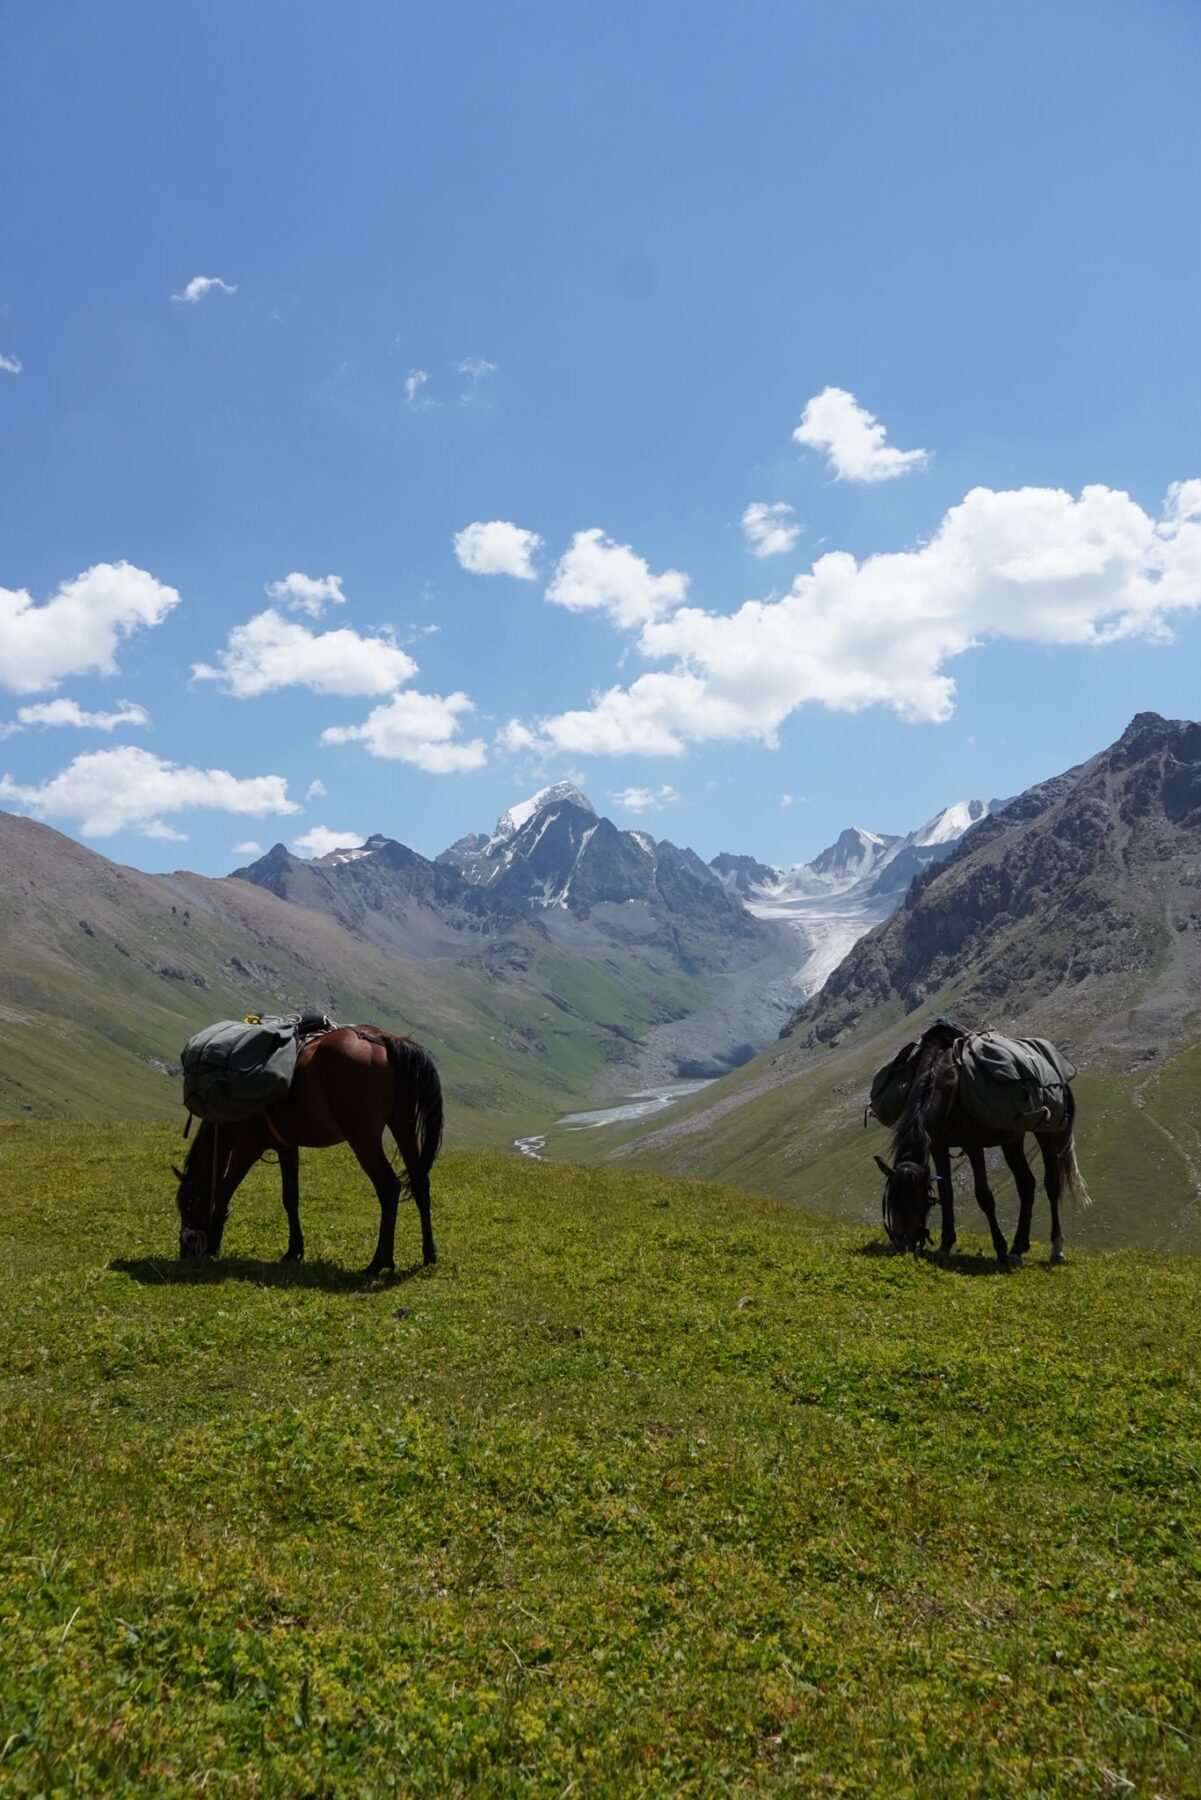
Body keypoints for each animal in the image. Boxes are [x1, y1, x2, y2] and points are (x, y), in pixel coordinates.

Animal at [173, 1025, 442, 1275]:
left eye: (187, 1203)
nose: (186, 1251)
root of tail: (384, 1039)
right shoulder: (286, 1147)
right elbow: (290, 1197)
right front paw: (294, 1250)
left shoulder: (248, 1146)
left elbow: (225, 1189)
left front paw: (214, 1244)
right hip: (403, 1127)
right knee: (420, 1183)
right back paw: (429, 1255)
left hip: (363, 1137)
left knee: (389, 1187)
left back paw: (379, 1263)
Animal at [872, 1019, 1089, 1266]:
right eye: (891, 1201)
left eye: (916, 1201)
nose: (902, 1247)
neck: (945, 1086)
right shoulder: (938, 1146)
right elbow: (946, 1192)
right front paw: (946, 1245)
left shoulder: (973, 1145)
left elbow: (984, 1196)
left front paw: (1000, 1249)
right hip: (1011, 1138)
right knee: (1026, 1184)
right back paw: (1018, 1247)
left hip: (1046, 1131)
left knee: (1051, 1183)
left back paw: (1056, 1248)